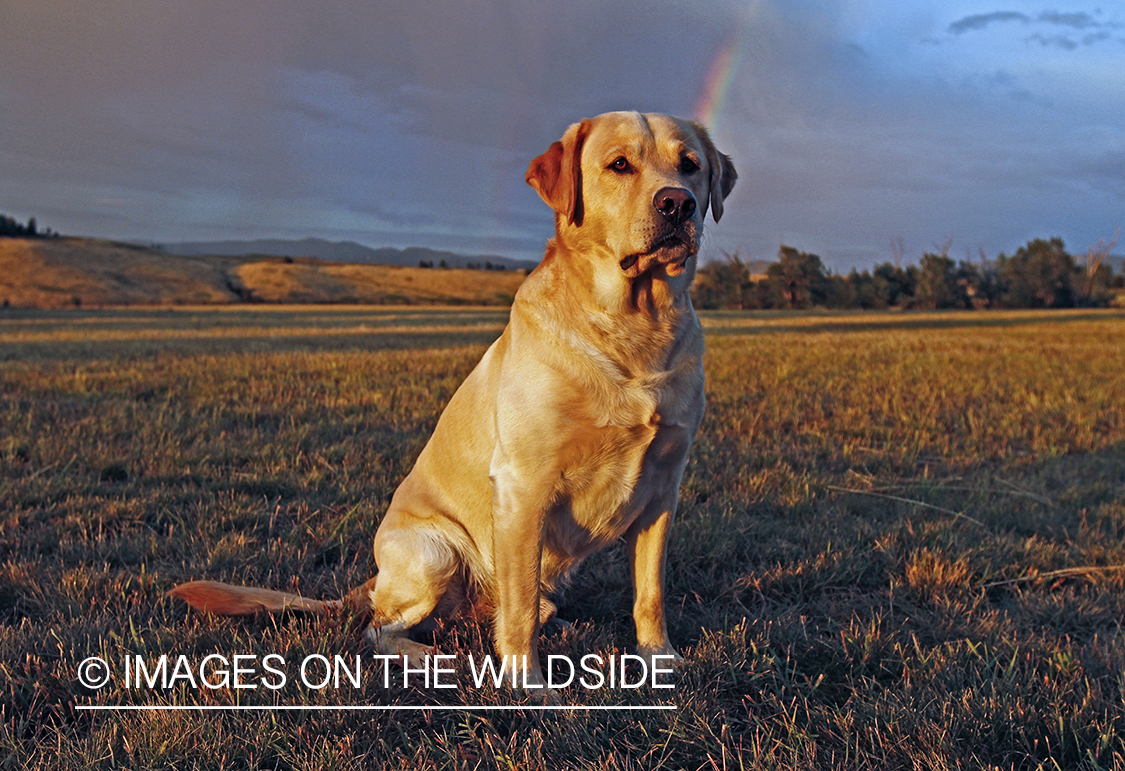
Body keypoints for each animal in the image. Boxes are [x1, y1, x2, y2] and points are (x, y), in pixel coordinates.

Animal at [164, 111, 729, 688]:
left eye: (690, 166)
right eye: (619, 165)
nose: (678, 203)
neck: (634, 327)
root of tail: (373, 579)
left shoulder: (663, 490)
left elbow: (650, 592)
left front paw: (660, 659)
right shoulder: (525, 485)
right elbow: (519, 604)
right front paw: (528, 684)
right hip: (435, 554)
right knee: (380, 630)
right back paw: (432, 657)